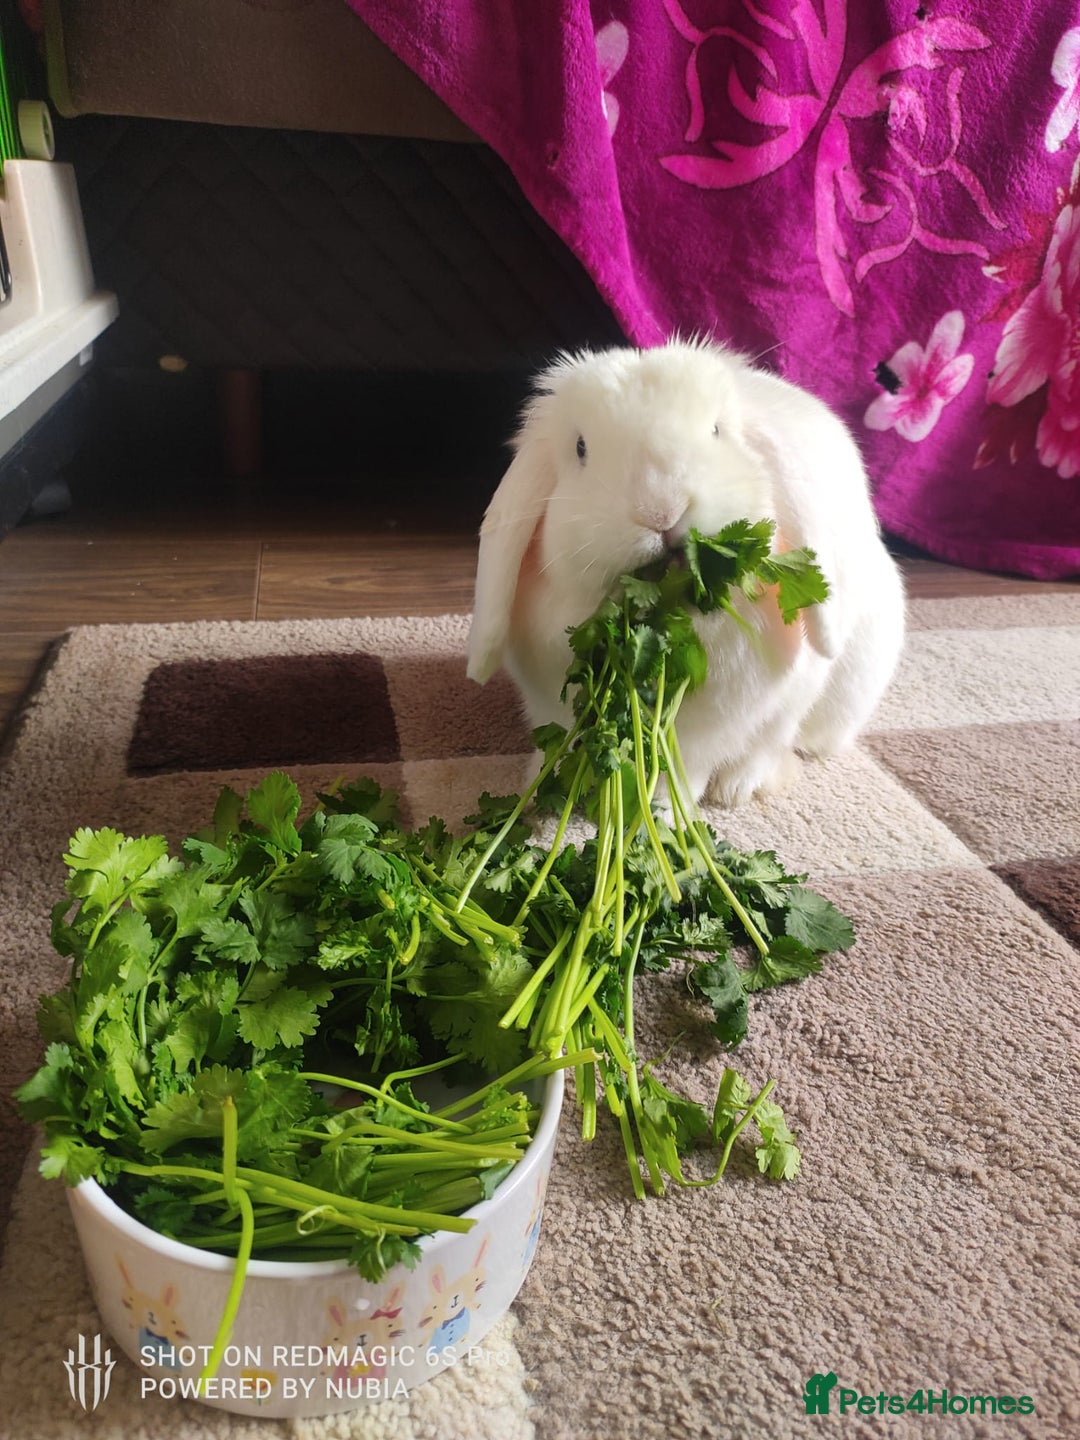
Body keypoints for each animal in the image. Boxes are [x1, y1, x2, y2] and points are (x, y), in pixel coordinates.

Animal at [466, 338, 905, 808]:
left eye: (716, 431)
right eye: (581, 448)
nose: (661, 510)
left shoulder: (724, 721)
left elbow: (685, 763)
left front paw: (660, 803)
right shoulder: (550, 699)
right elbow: (563, 739)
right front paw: (545, 785)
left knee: (776, 743)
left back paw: (738, 788)